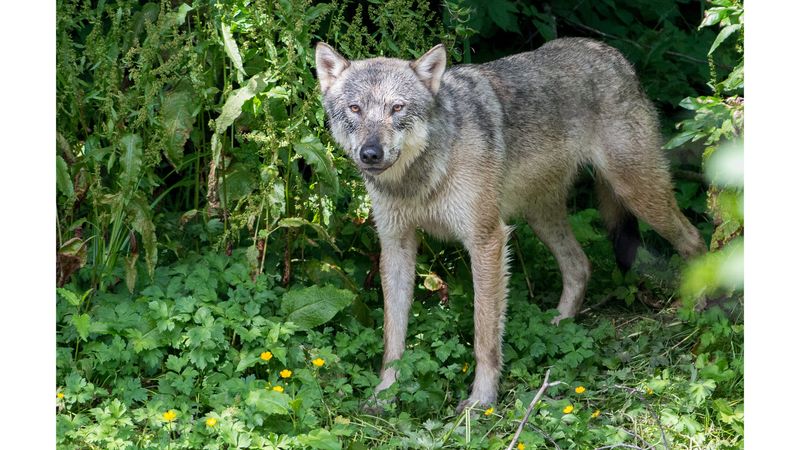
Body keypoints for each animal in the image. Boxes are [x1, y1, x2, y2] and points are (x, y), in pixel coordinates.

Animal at [316, 38, 704, 410]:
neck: (418, 179)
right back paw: (557, 327)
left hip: (638, 195)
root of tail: (613, 55)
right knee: (580, 265)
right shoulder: (396, 245)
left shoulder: (486, 240)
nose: (370, 153)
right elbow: (392, 339)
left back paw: (698, 314)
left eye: (397, 108)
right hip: (541, 215)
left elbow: (485, 336)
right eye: (355, 109)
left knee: (695, 239)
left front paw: (481, 401)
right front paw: (384, 395)